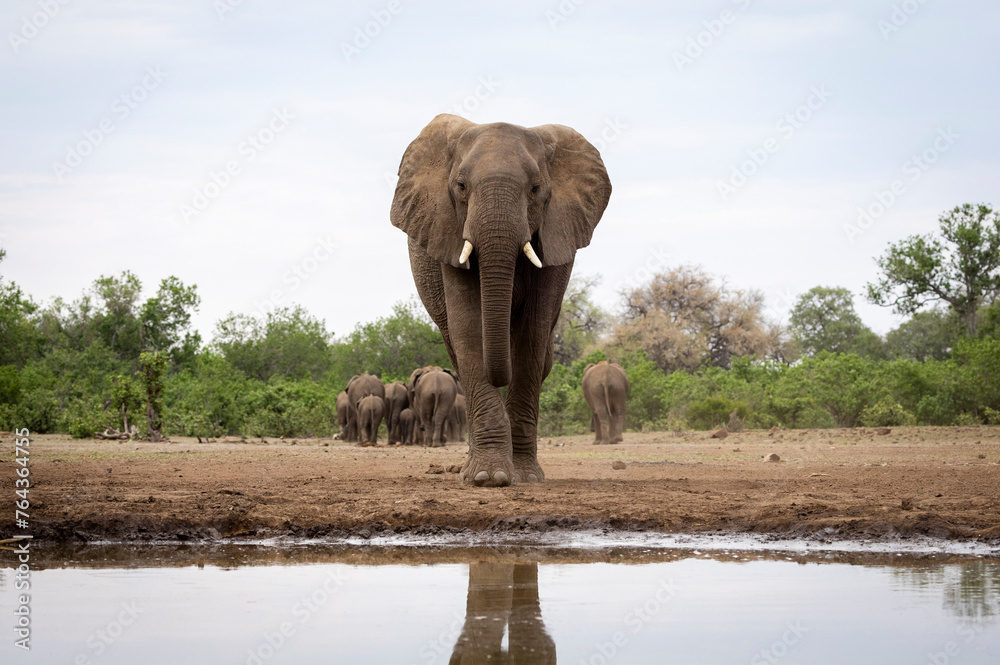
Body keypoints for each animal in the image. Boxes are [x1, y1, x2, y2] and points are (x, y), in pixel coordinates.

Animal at [391, 114, 611, 485]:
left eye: (536, 190)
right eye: (460, 186)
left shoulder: (556, 231)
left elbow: (532, 334)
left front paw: (524, 476)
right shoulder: (449, 232)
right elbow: (468, 327)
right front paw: (487, 477)